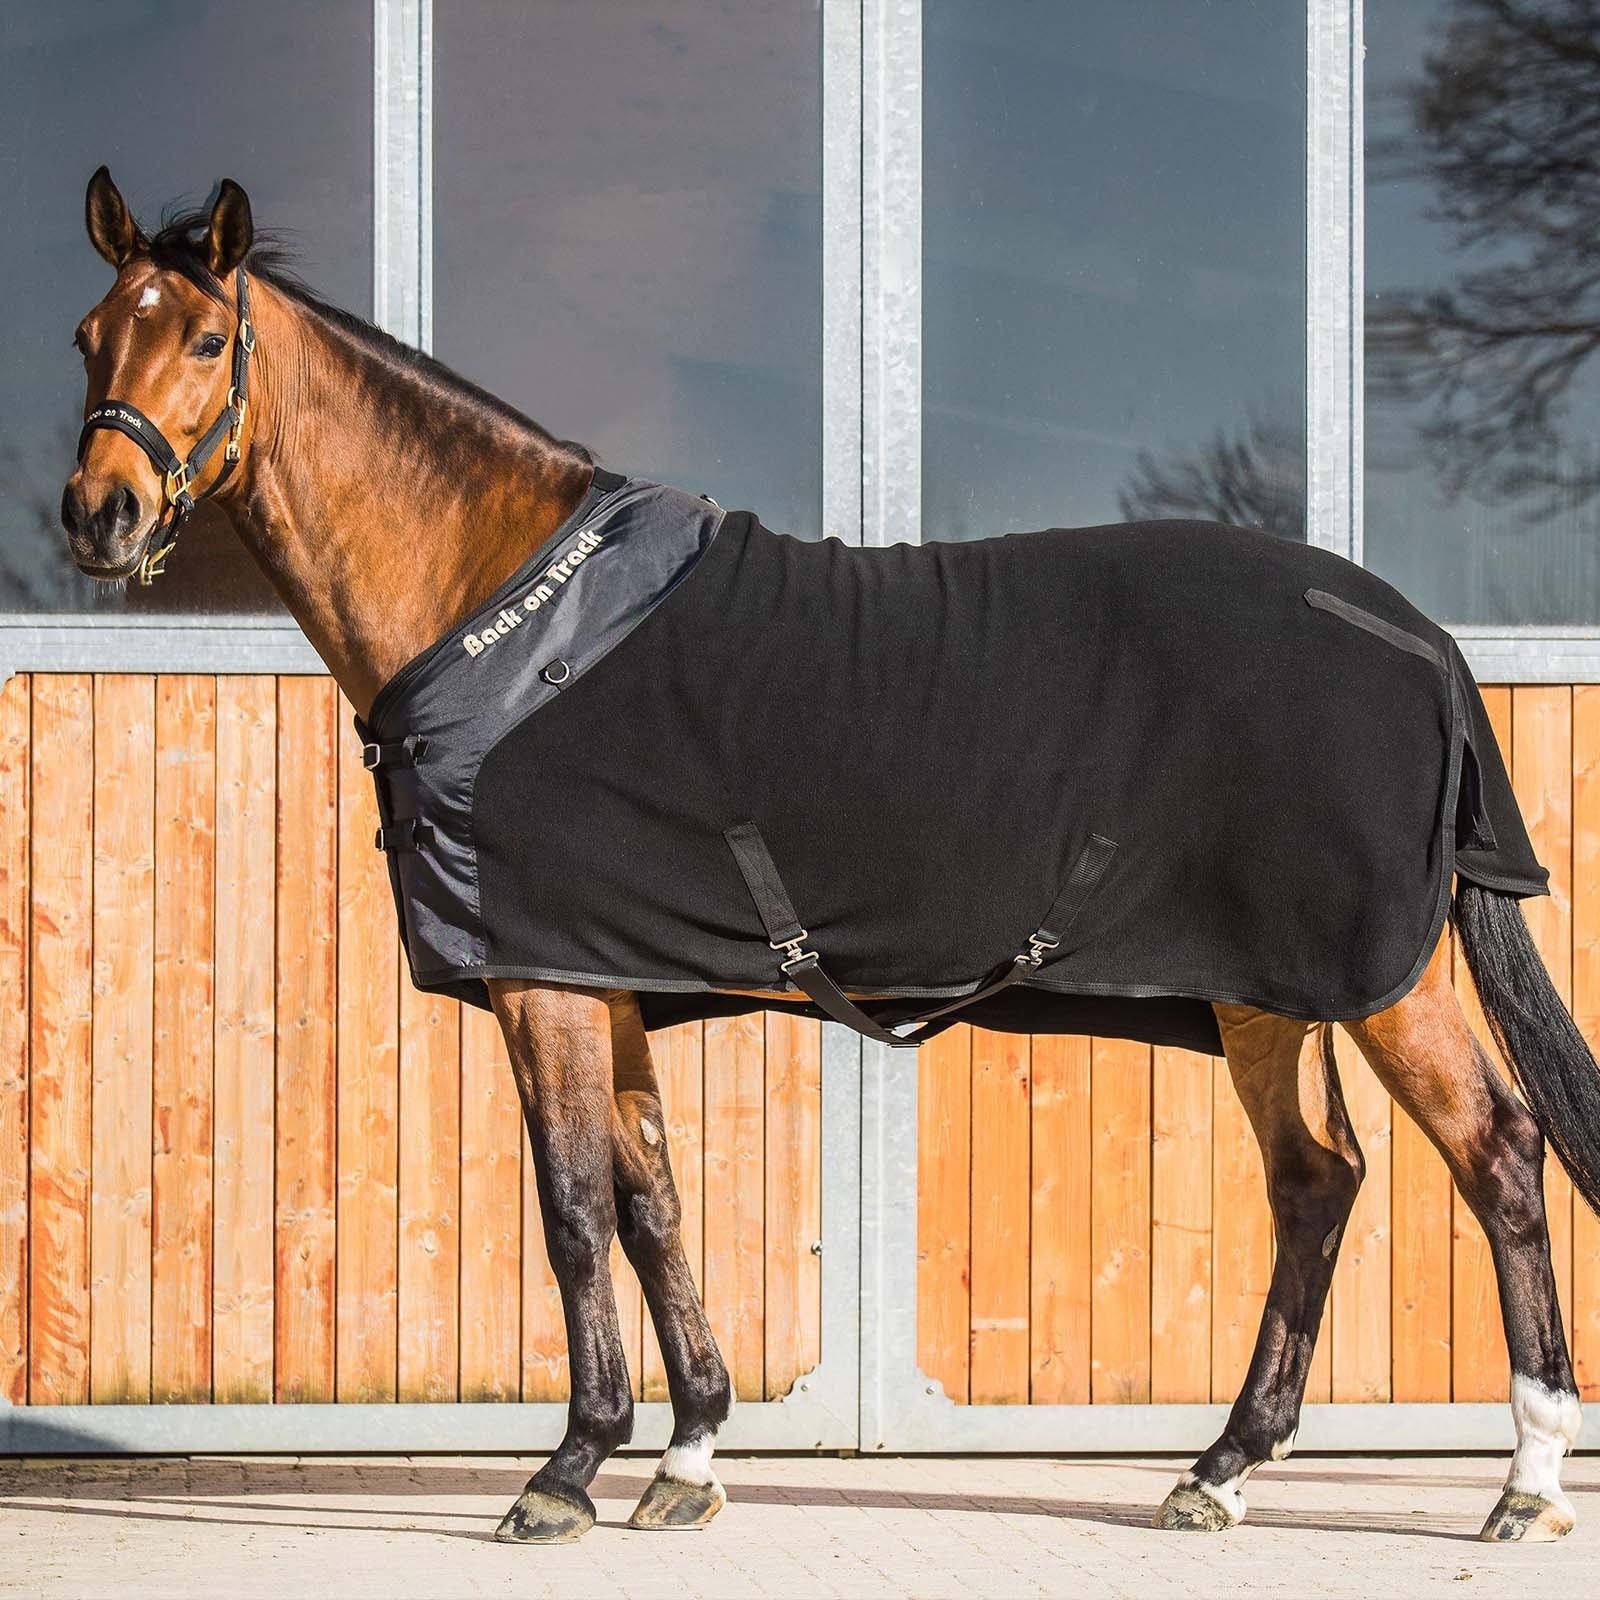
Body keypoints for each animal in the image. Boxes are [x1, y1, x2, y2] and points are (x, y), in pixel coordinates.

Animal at [58, 169, 1598, 1544]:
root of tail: (1422, 640)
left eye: (204, 340)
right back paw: (1218, 1472)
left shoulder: (546, 982)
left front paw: (567, 1471)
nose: (98, 515)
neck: (506, 617)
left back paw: (1524, 1482)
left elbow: (573, 1210)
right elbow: (654, 1202)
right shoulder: (612, 982)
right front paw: (687, 1460)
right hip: (1263, 998)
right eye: (88, 335)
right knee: (1315, 1182)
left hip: (1382, 984)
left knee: (1500, 1157)